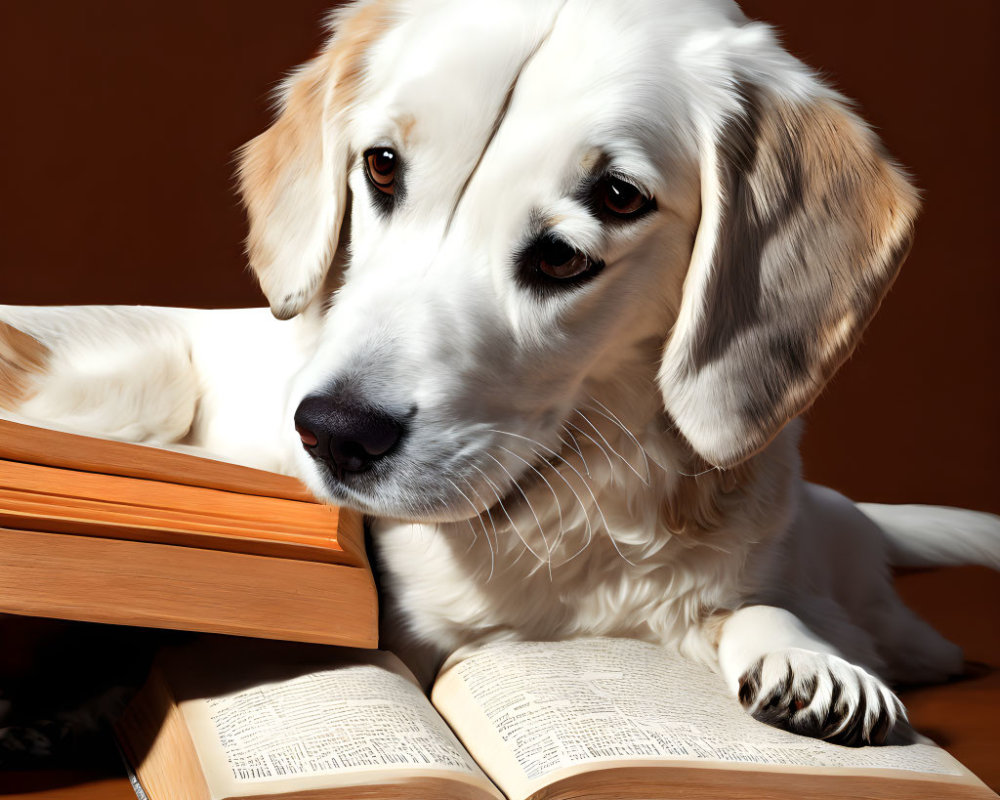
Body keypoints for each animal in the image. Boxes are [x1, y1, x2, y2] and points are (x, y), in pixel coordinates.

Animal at [1, 0, 1000, 752]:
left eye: (612, 207)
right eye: (383, 168)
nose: (334, 432)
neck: (568, 507)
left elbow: (753, 610)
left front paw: (802, 659)